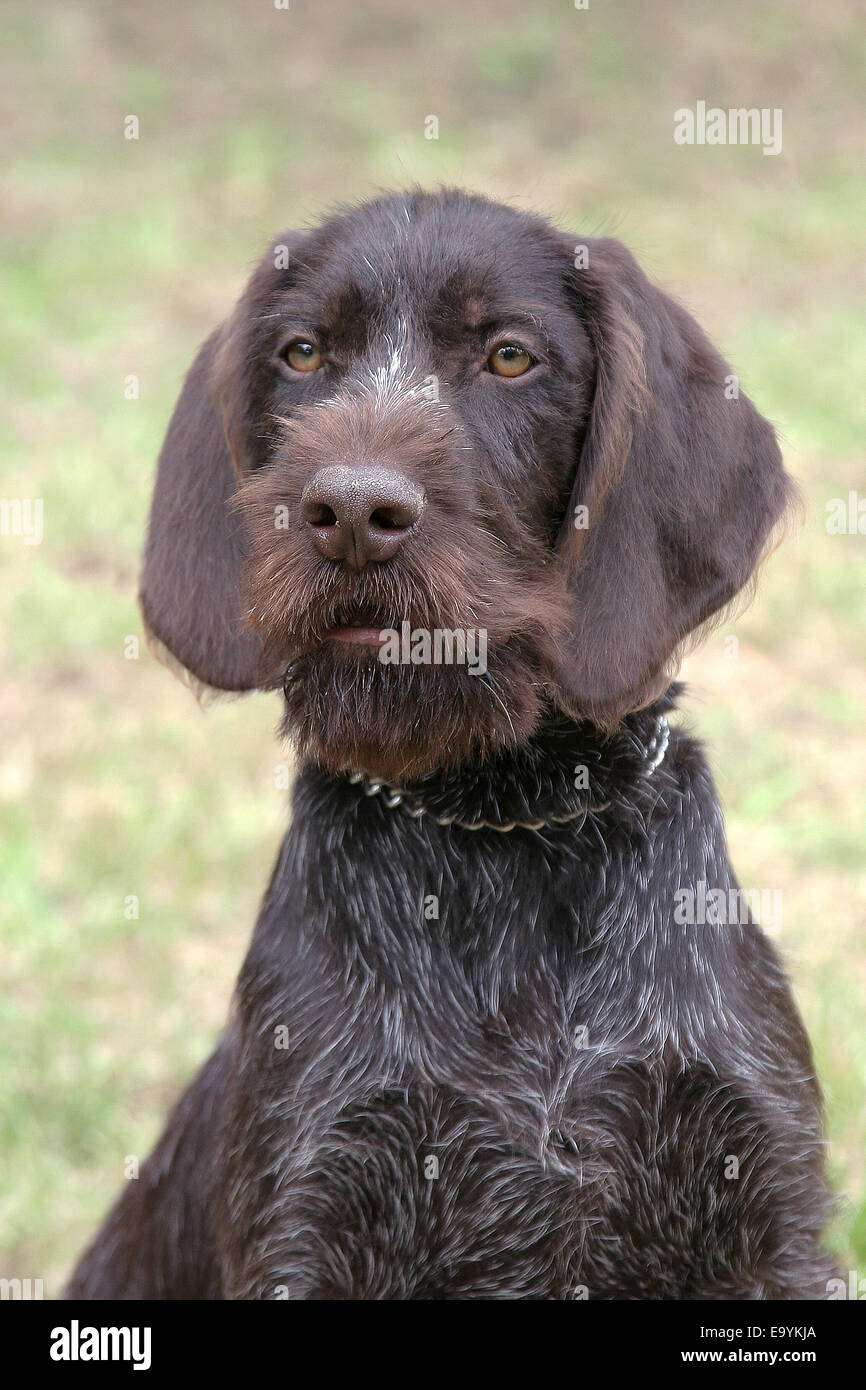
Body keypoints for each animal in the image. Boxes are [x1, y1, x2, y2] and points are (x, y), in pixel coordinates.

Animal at [64, 190, 839, 1295]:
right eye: (303, 353)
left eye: (509, 356)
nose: (351, 510)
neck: (507, 826)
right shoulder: (311, 1217)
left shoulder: (770, 1218)